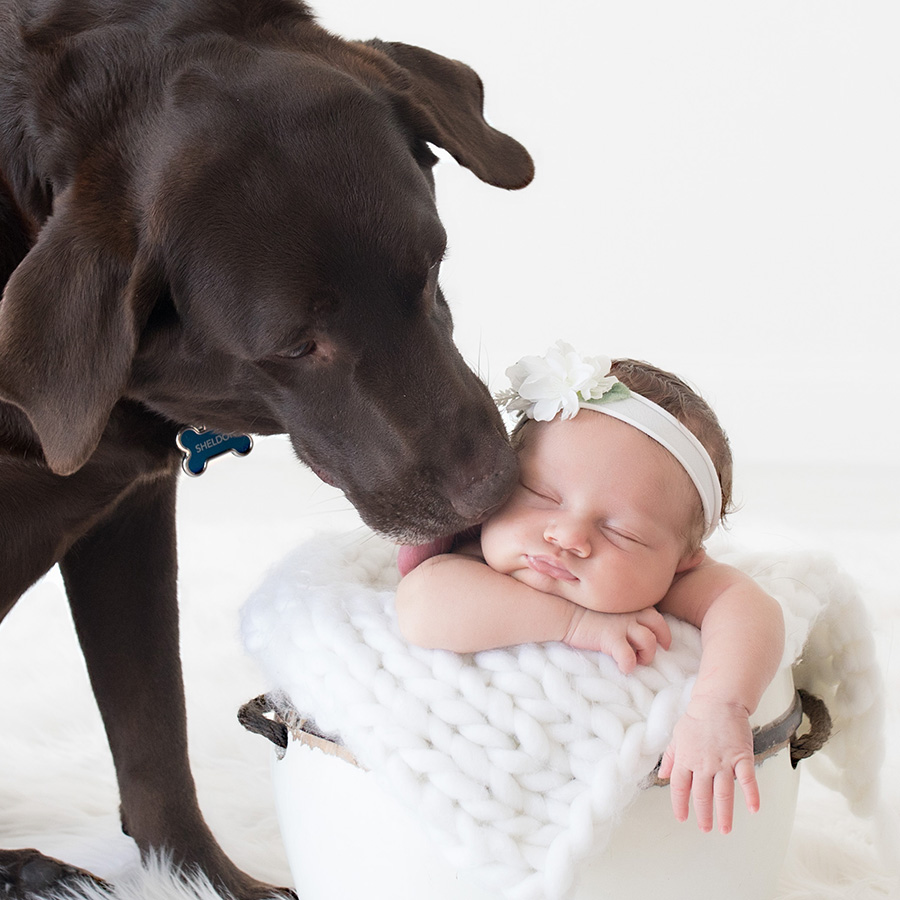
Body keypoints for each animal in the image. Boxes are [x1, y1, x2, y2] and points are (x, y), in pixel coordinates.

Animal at [0, 1, 533, 896]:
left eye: (431, 269)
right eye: (296, 347)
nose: (493, 490)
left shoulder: (128, 510)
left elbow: (154, 727)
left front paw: (200, 878)